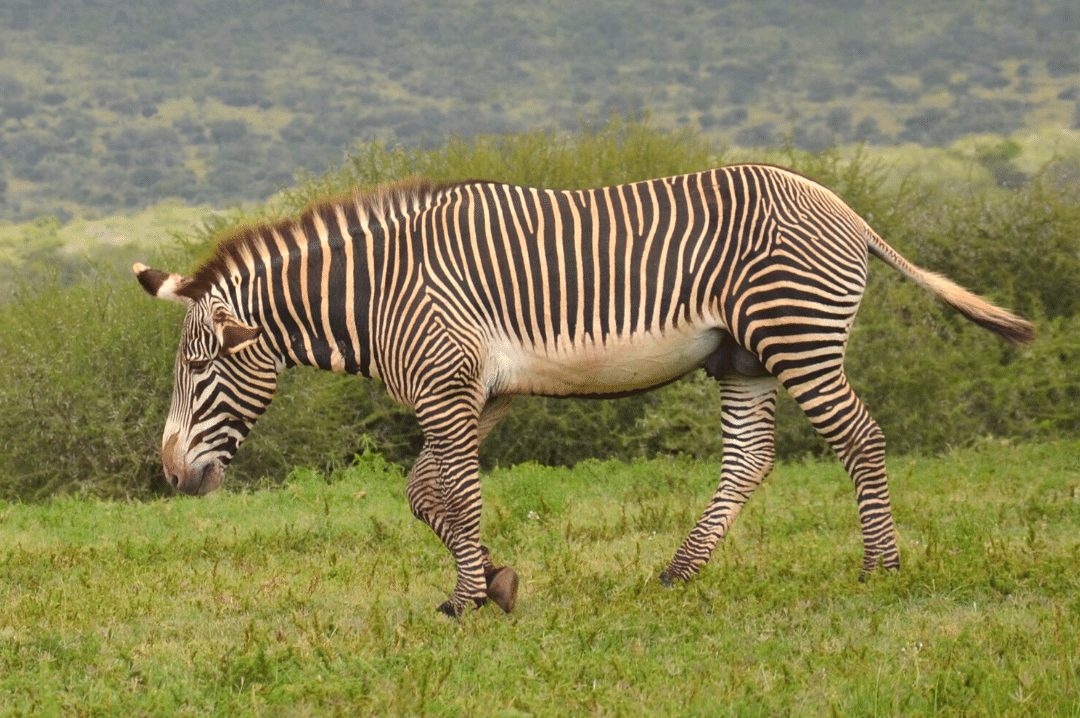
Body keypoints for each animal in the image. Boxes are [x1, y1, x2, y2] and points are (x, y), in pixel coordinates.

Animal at [132, 164, 1028, 617]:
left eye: (200, 371)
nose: (171, 474)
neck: (380, 291)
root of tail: (845, 208)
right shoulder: (480, 394)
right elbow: (426, 494)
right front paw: (495, 581)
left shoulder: (448, 387)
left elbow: (456, 496)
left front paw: (468, 599)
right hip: (741, 358)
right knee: (750, 460)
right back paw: (678, 572)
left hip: (795, 334)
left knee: (860, 439)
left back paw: (881, 568)